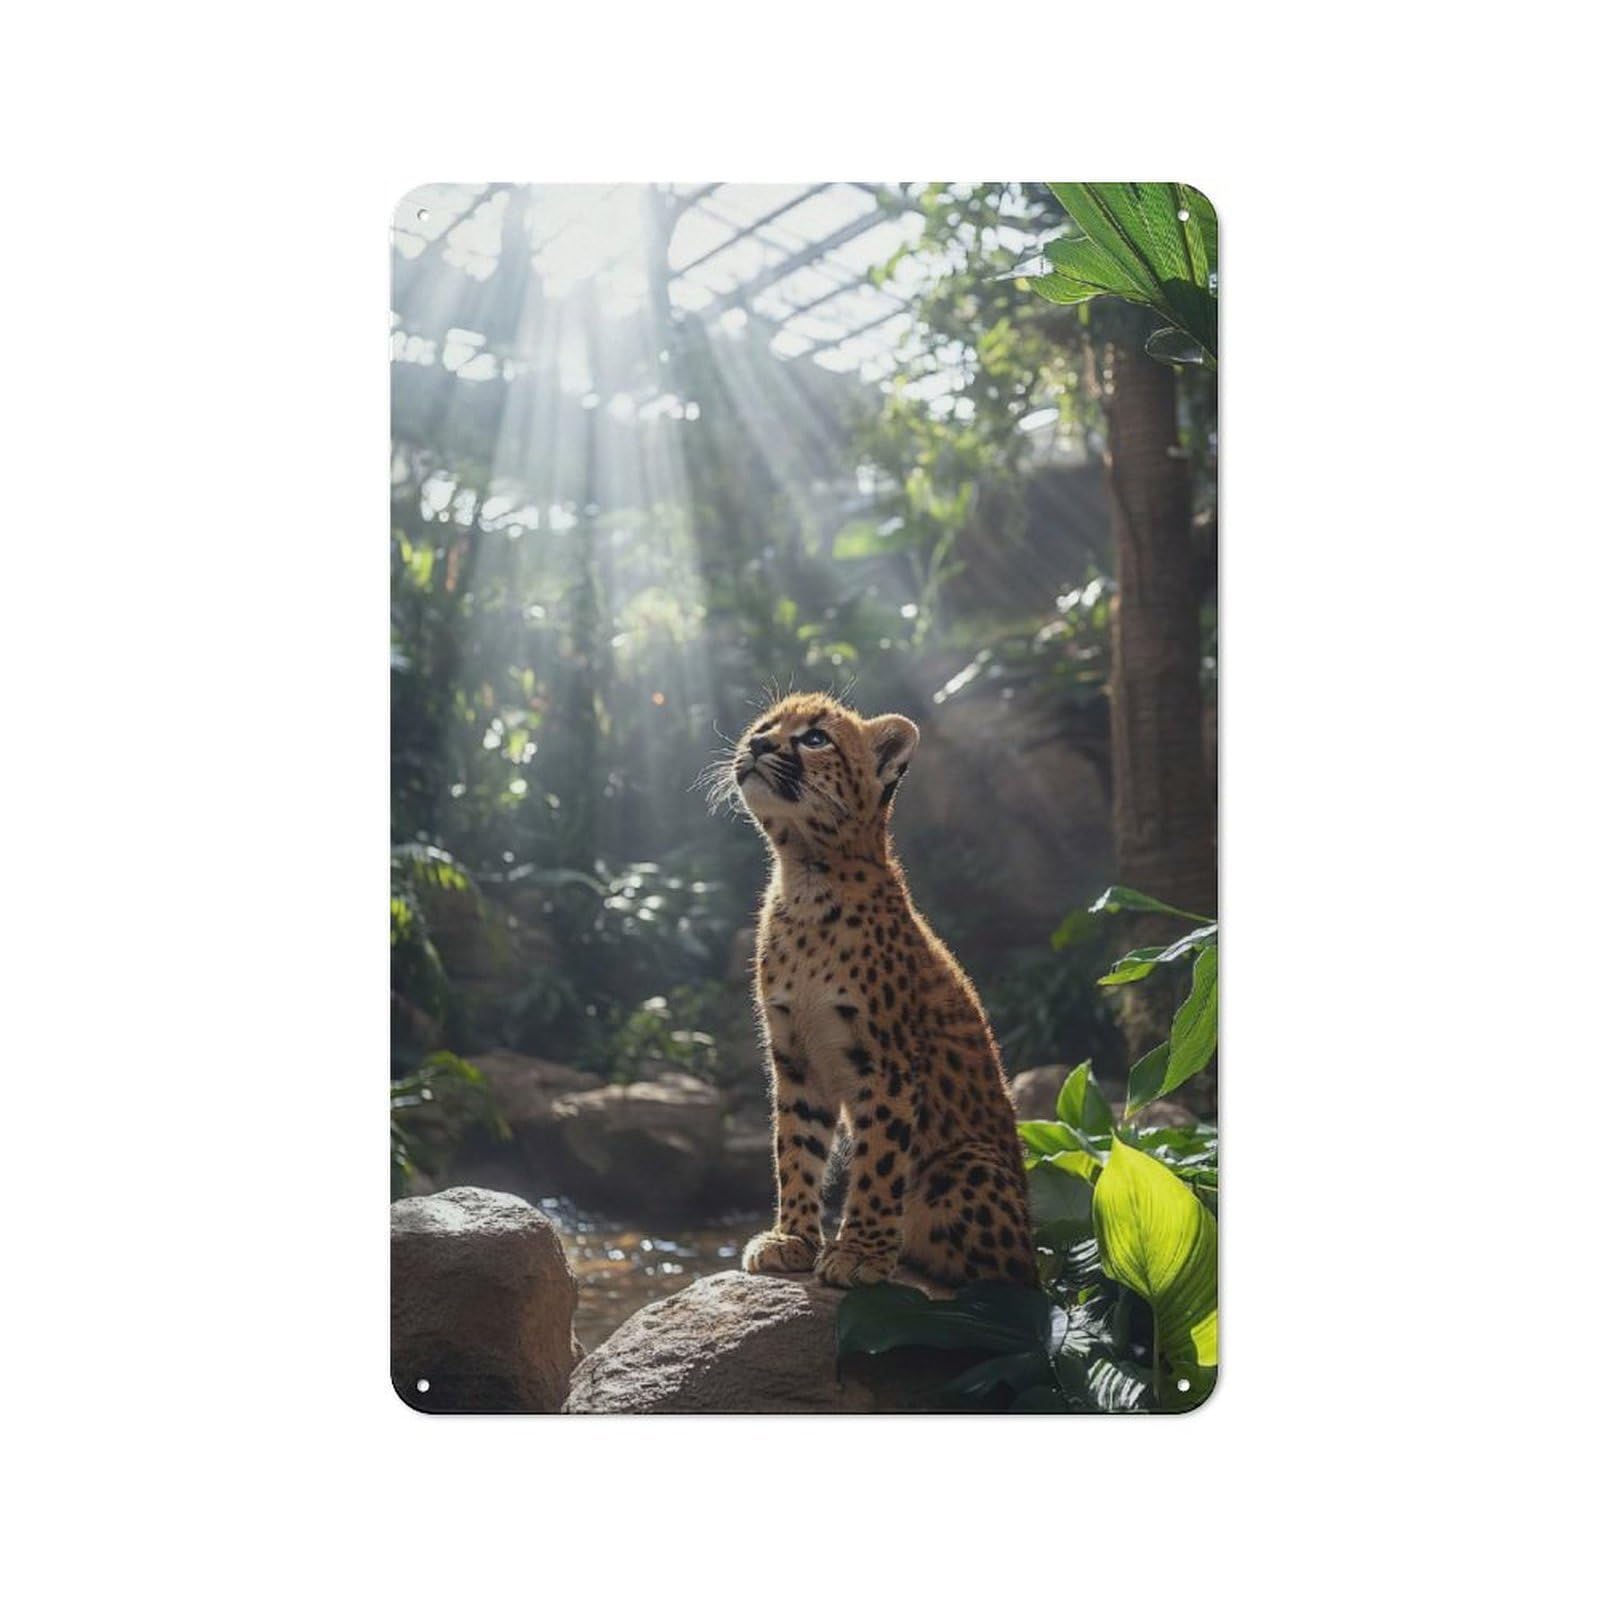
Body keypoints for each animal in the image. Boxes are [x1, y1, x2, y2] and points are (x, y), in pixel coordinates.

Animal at [715, 689, 1036, 1290]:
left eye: (815, 738)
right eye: (764, 726)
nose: (758, 745)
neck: (806, 876)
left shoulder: (887, 1065)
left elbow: (878, 1160)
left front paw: (860, 1250)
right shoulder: (796, 1057)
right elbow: (795, 1148)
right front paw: (793, 1238)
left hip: (966, 1165)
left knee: (1010, 1276)